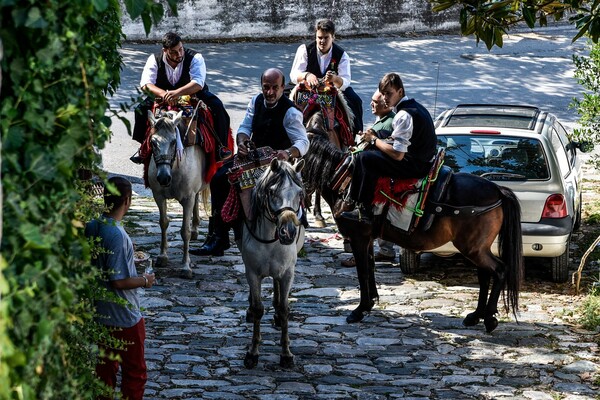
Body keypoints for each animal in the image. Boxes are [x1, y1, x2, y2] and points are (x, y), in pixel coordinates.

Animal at [147, 109, 209, 278]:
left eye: (174, 142)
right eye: (153, 142)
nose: (163, 177)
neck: (174, 168)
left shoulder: (187, 198)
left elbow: (184, 232)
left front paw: (186, 266)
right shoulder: (158, 196)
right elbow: (163, 223)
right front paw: (162, 256)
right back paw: (195, 229)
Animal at [238, 158, 304, 370]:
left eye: (300, 193)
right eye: (272, 191)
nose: (288, 232)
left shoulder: (288, 273)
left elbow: (284, 309)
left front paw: (286, 354)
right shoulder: (251, 273)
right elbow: (259, 309)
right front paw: (252, 353)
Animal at [302, 133, 524, 332]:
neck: (344, 180)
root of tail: (498, 190)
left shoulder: (359, 238)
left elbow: (362, 271)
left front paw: (360, 310)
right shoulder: (368, 239)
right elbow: (371, 268)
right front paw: (371, 302)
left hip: (473, 248)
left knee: (499, 270)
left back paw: (489, 318)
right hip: (477, 248)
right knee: (485, 276)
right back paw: (475, 315)